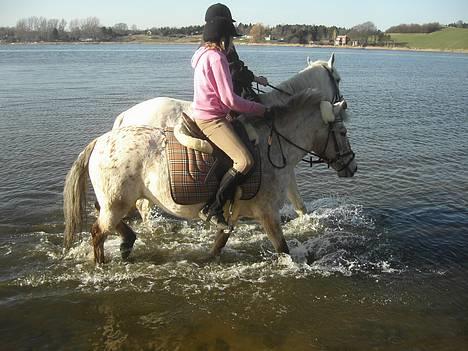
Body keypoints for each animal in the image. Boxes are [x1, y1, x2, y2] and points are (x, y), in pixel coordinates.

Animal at [64, 54, 356, 264]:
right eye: (339, 79)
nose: (352, 166)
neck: (273, 138)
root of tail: (106, 136)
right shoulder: (269, 205)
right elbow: (293, 218)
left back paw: (127, 241)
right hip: (121, 200)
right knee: (118, 222)